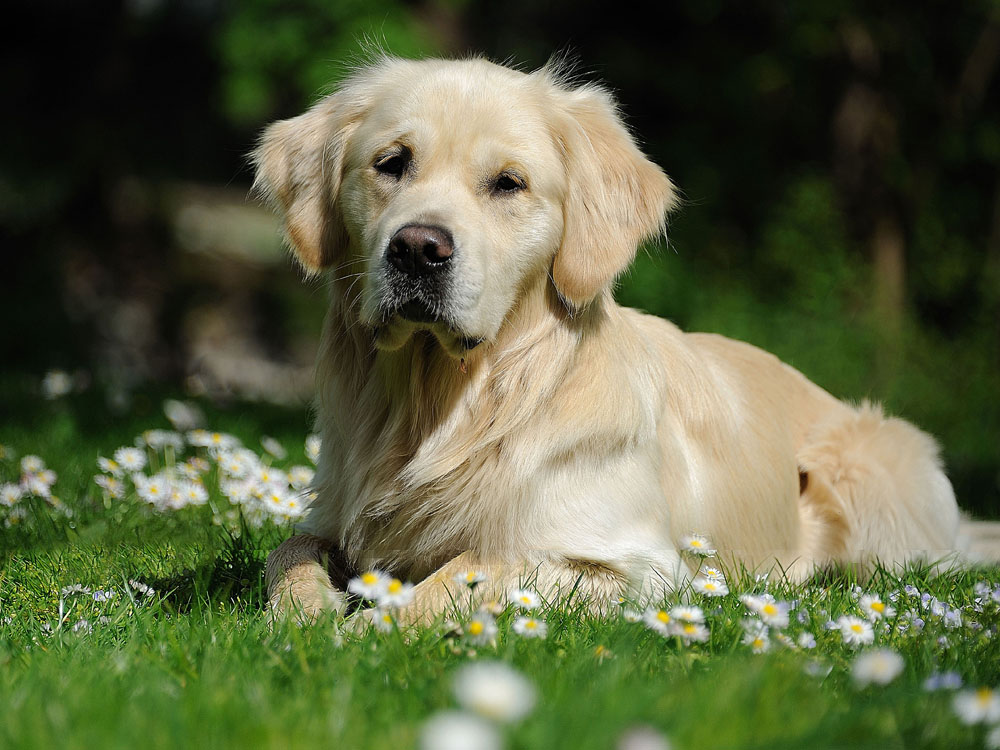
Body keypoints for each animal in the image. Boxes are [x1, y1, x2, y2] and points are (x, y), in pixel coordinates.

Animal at [252, 55, 976, 624]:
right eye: (391, 164)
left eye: (508, 183)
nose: (417, 249)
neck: (452, 407)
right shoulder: (329, 516)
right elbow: (285, 556)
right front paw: (310, 619)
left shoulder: (635, 565)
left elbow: (476, 566)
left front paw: (362, 632)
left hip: (868, 475)